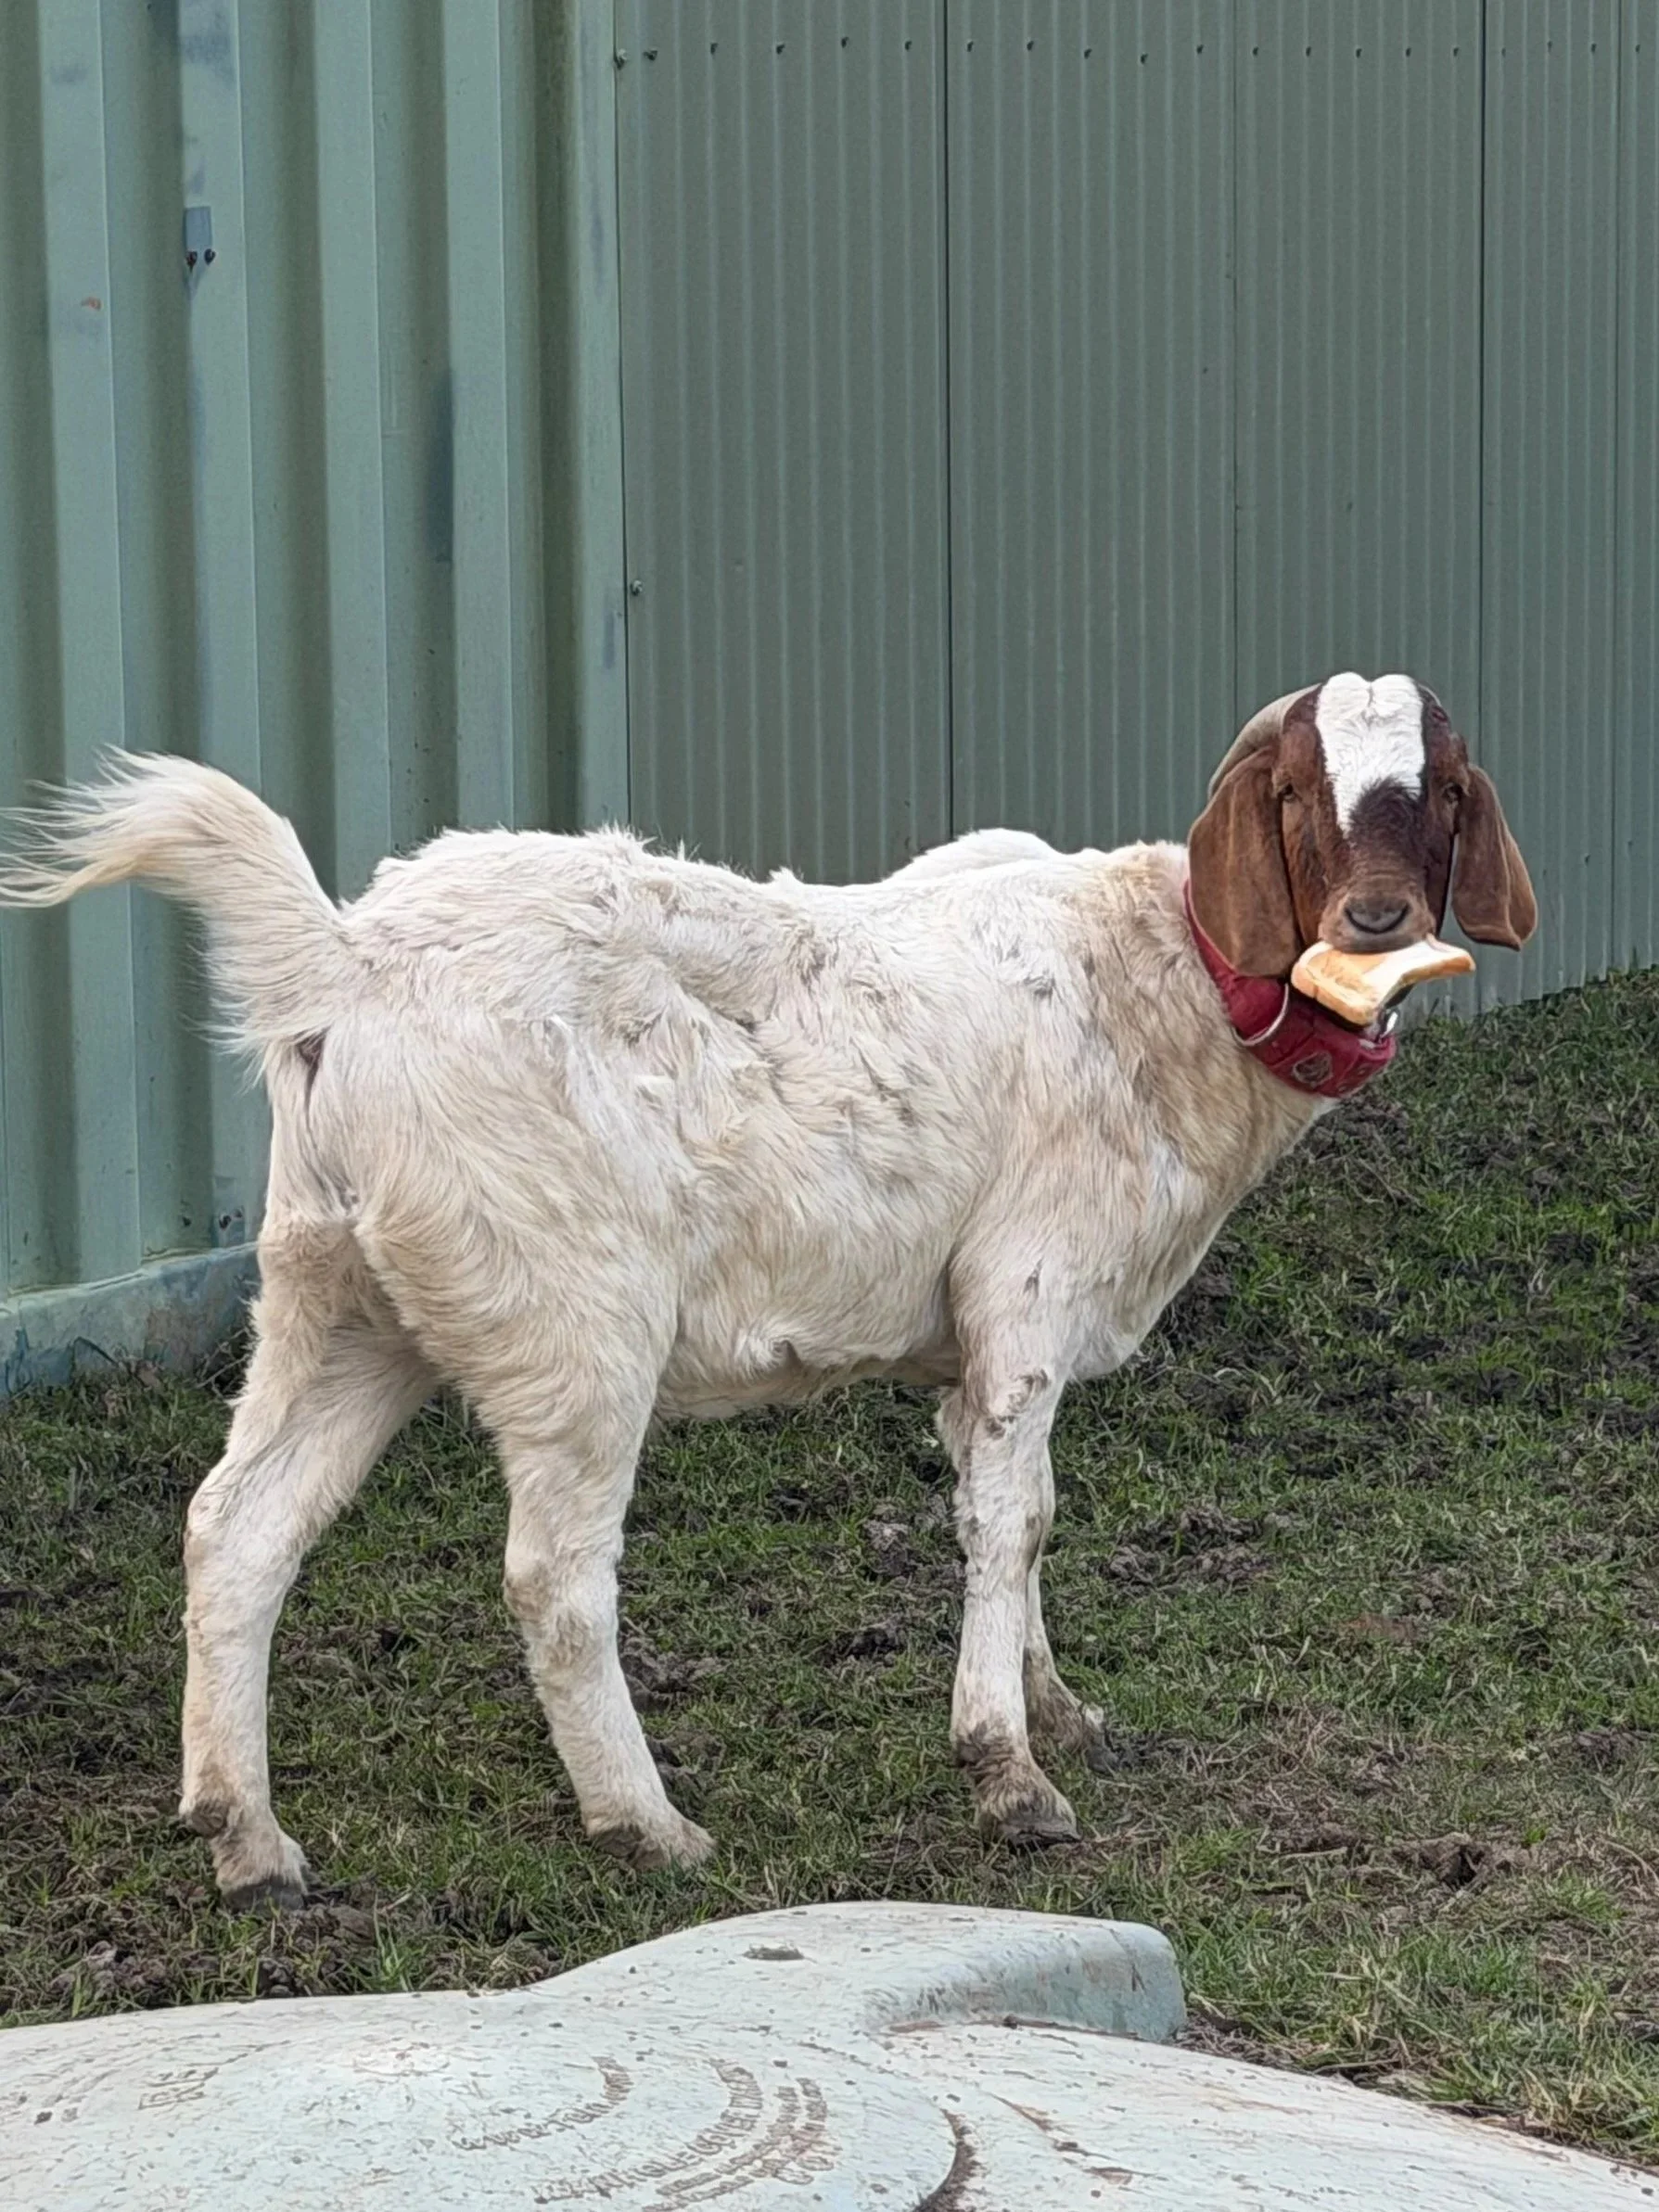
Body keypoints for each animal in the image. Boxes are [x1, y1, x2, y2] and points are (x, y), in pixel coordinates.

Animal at [0, 674, 1534, 1904]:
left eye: (1445, 792)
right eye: (1293, 793)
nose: (1376, 920)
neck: (1165, 984)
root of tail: (343, 963)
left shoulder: (975, 1342)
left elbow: (1025, 1509)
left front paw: (1058, 1708)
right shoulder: (1027, 1288)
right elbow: (1002, 1522)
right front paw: (1008, 1771)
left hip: (335, 1292)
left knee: (237, 1527)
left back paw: (244, 1834)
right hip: (574, 1318)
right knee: (553, 1577)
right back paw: (644, 1822)